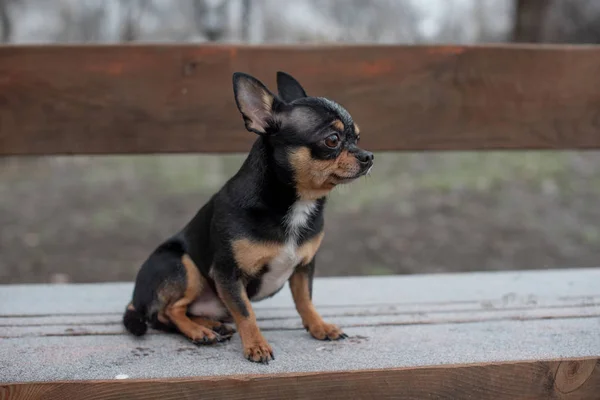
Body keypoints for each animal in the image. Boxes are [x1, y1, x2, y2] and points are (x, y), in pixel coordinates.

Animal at [122, 70, 372, 364]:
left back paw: (212, 325)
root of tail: (135, 297)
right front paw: (256, 345)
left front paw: (319, 326)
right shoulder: (228, 273)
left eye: (357, 138)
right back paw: (199, 332)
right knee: (168, 312)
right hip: (183, 265)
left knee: (177, 313)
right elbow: (245, 312)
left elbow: (305, 300)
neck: (297, 204)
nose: (369, 156)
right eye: (332, 140)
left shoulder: (303, 267)